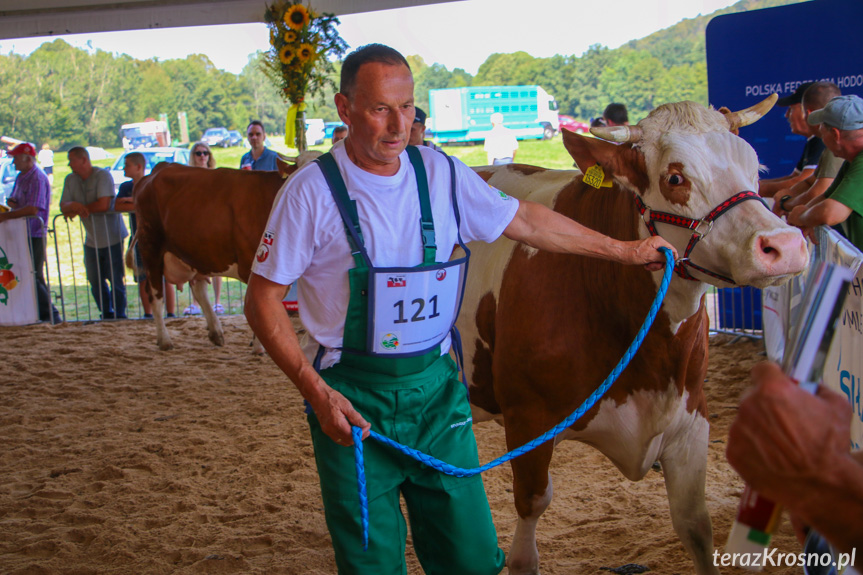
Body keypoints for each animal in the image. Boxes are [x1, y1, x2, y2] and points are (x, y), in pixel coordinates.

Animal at [131, 158, 314, 354]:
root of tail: (159, 168)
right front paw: (259, 347)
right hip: (150, 247)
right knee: (155, 296)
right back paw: (164, 340)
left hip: (196, 254)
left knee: (199, 290)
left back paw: (215, 332)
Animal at [460, 97, 808, 572]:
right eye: (675, 178)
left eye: (756, 166)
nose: (785, 245)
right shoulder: (527, 420)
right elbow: (528, 530)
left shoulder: (691, 417)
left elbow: (695, 525)